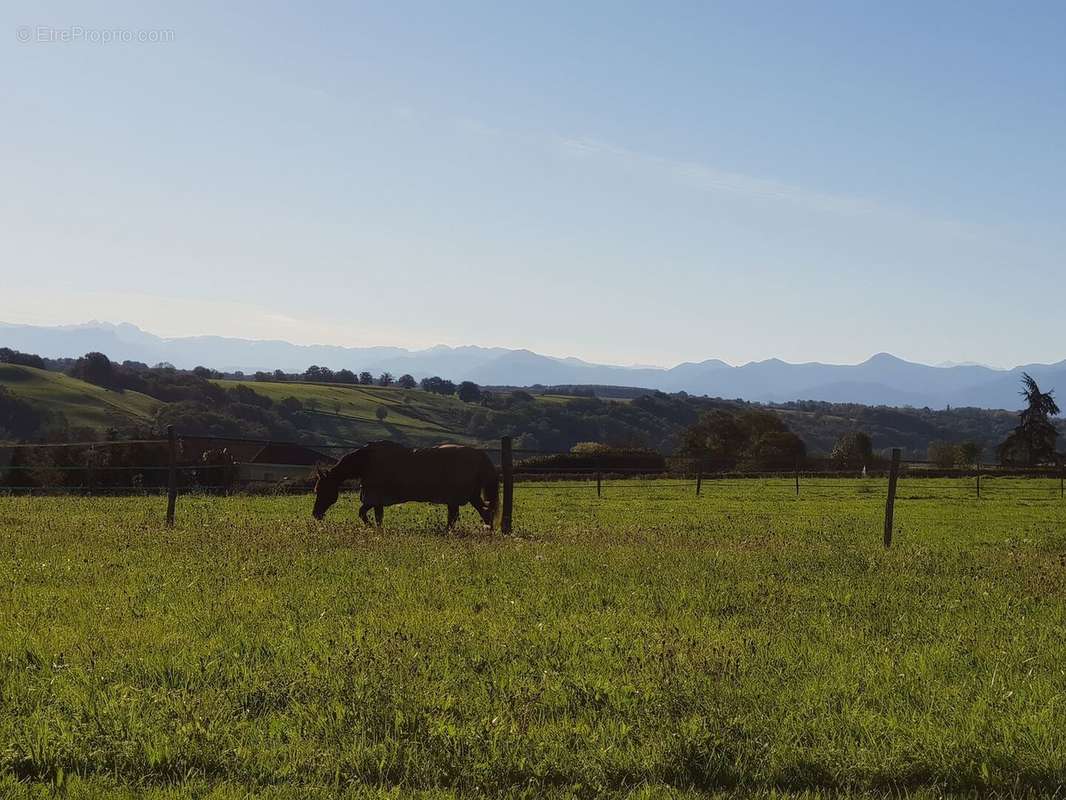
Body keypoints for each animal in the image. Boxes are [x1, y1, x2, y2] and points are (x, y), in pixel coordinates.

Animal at [311, 441, 498, 529]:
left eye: (321, 490)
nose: (315, 514)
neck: (365, 462)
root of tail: (480, 455)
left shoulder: (373, 498)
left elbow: (362, 513)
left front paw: (370, 527)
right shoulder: (377, 501)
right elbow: (378, 518)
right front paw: (377, 529)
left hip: (458, 497)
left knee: (467, 515)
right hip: (469, 496)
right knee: (482, 512)